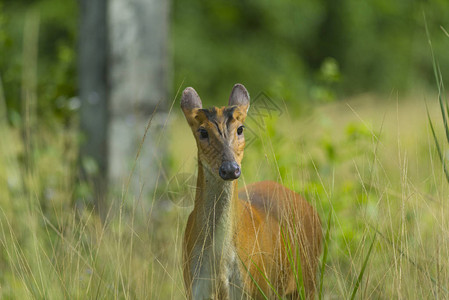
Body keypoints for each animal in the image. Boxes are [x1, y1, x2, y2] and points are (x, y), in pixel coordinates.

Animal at [180, 83, 320, 298]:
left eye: (240, 128)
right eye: (202, 132)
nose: (230, 168)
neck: (218, 266)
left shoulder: (252, 287)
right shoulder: (194, 286)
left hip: (308, 280)